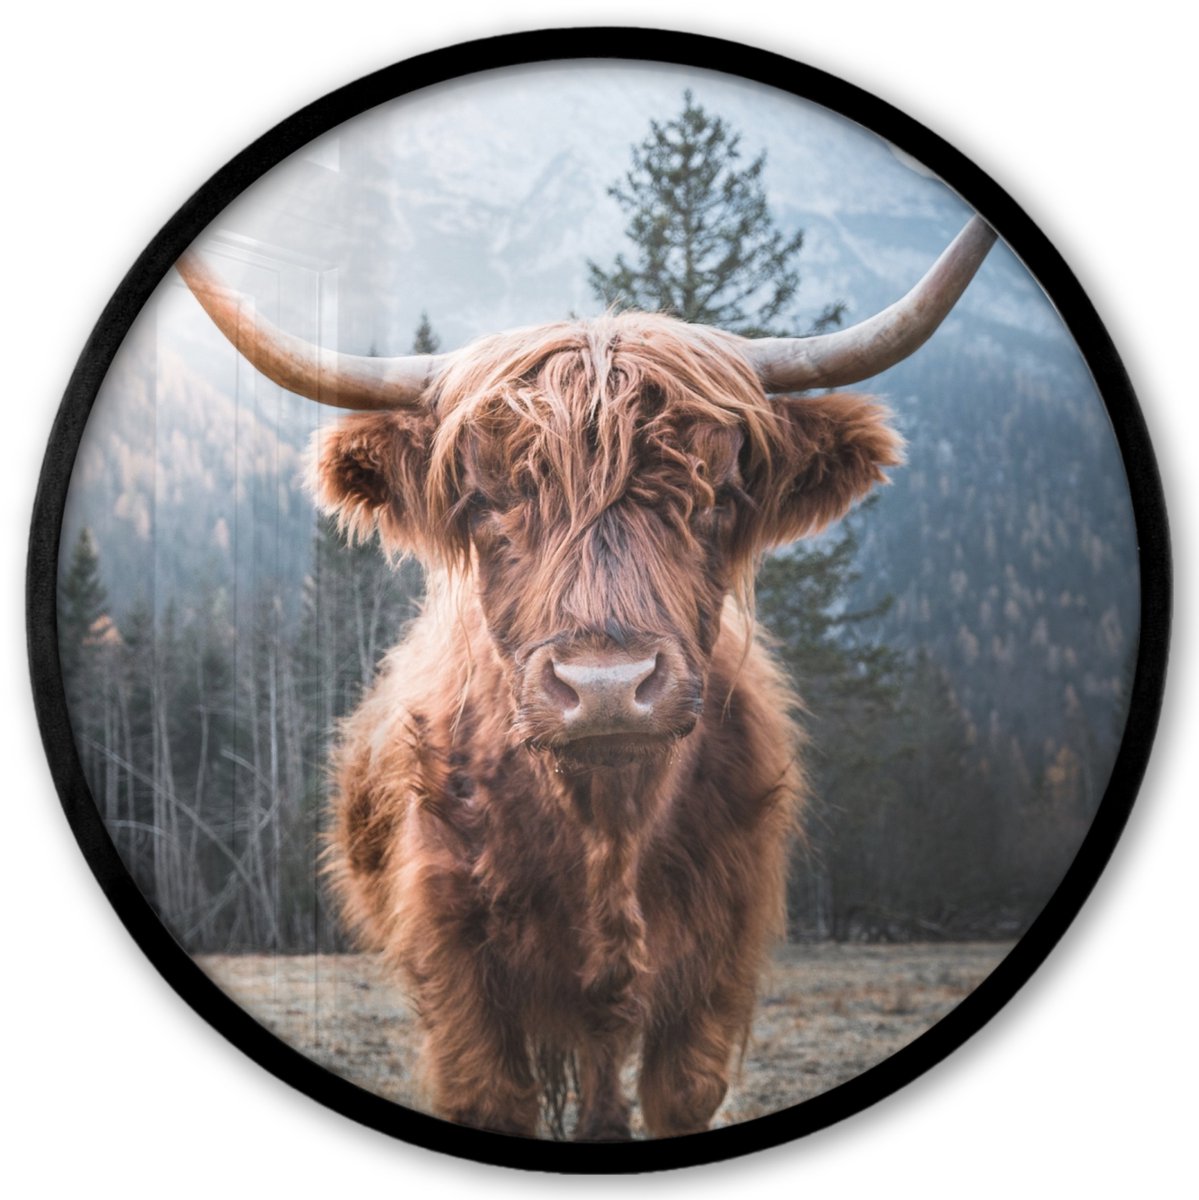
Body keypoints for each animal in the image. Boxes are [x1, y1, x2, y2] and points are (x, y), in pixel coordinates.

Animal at [178, 216, 995, 1139]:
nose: (606, 686)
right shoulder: (455, 970)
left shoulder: (717, 966)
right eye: (485, 499)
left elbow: (679, 1093)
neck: (606, 828)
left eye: (716, 492)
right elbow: (493, 1095)